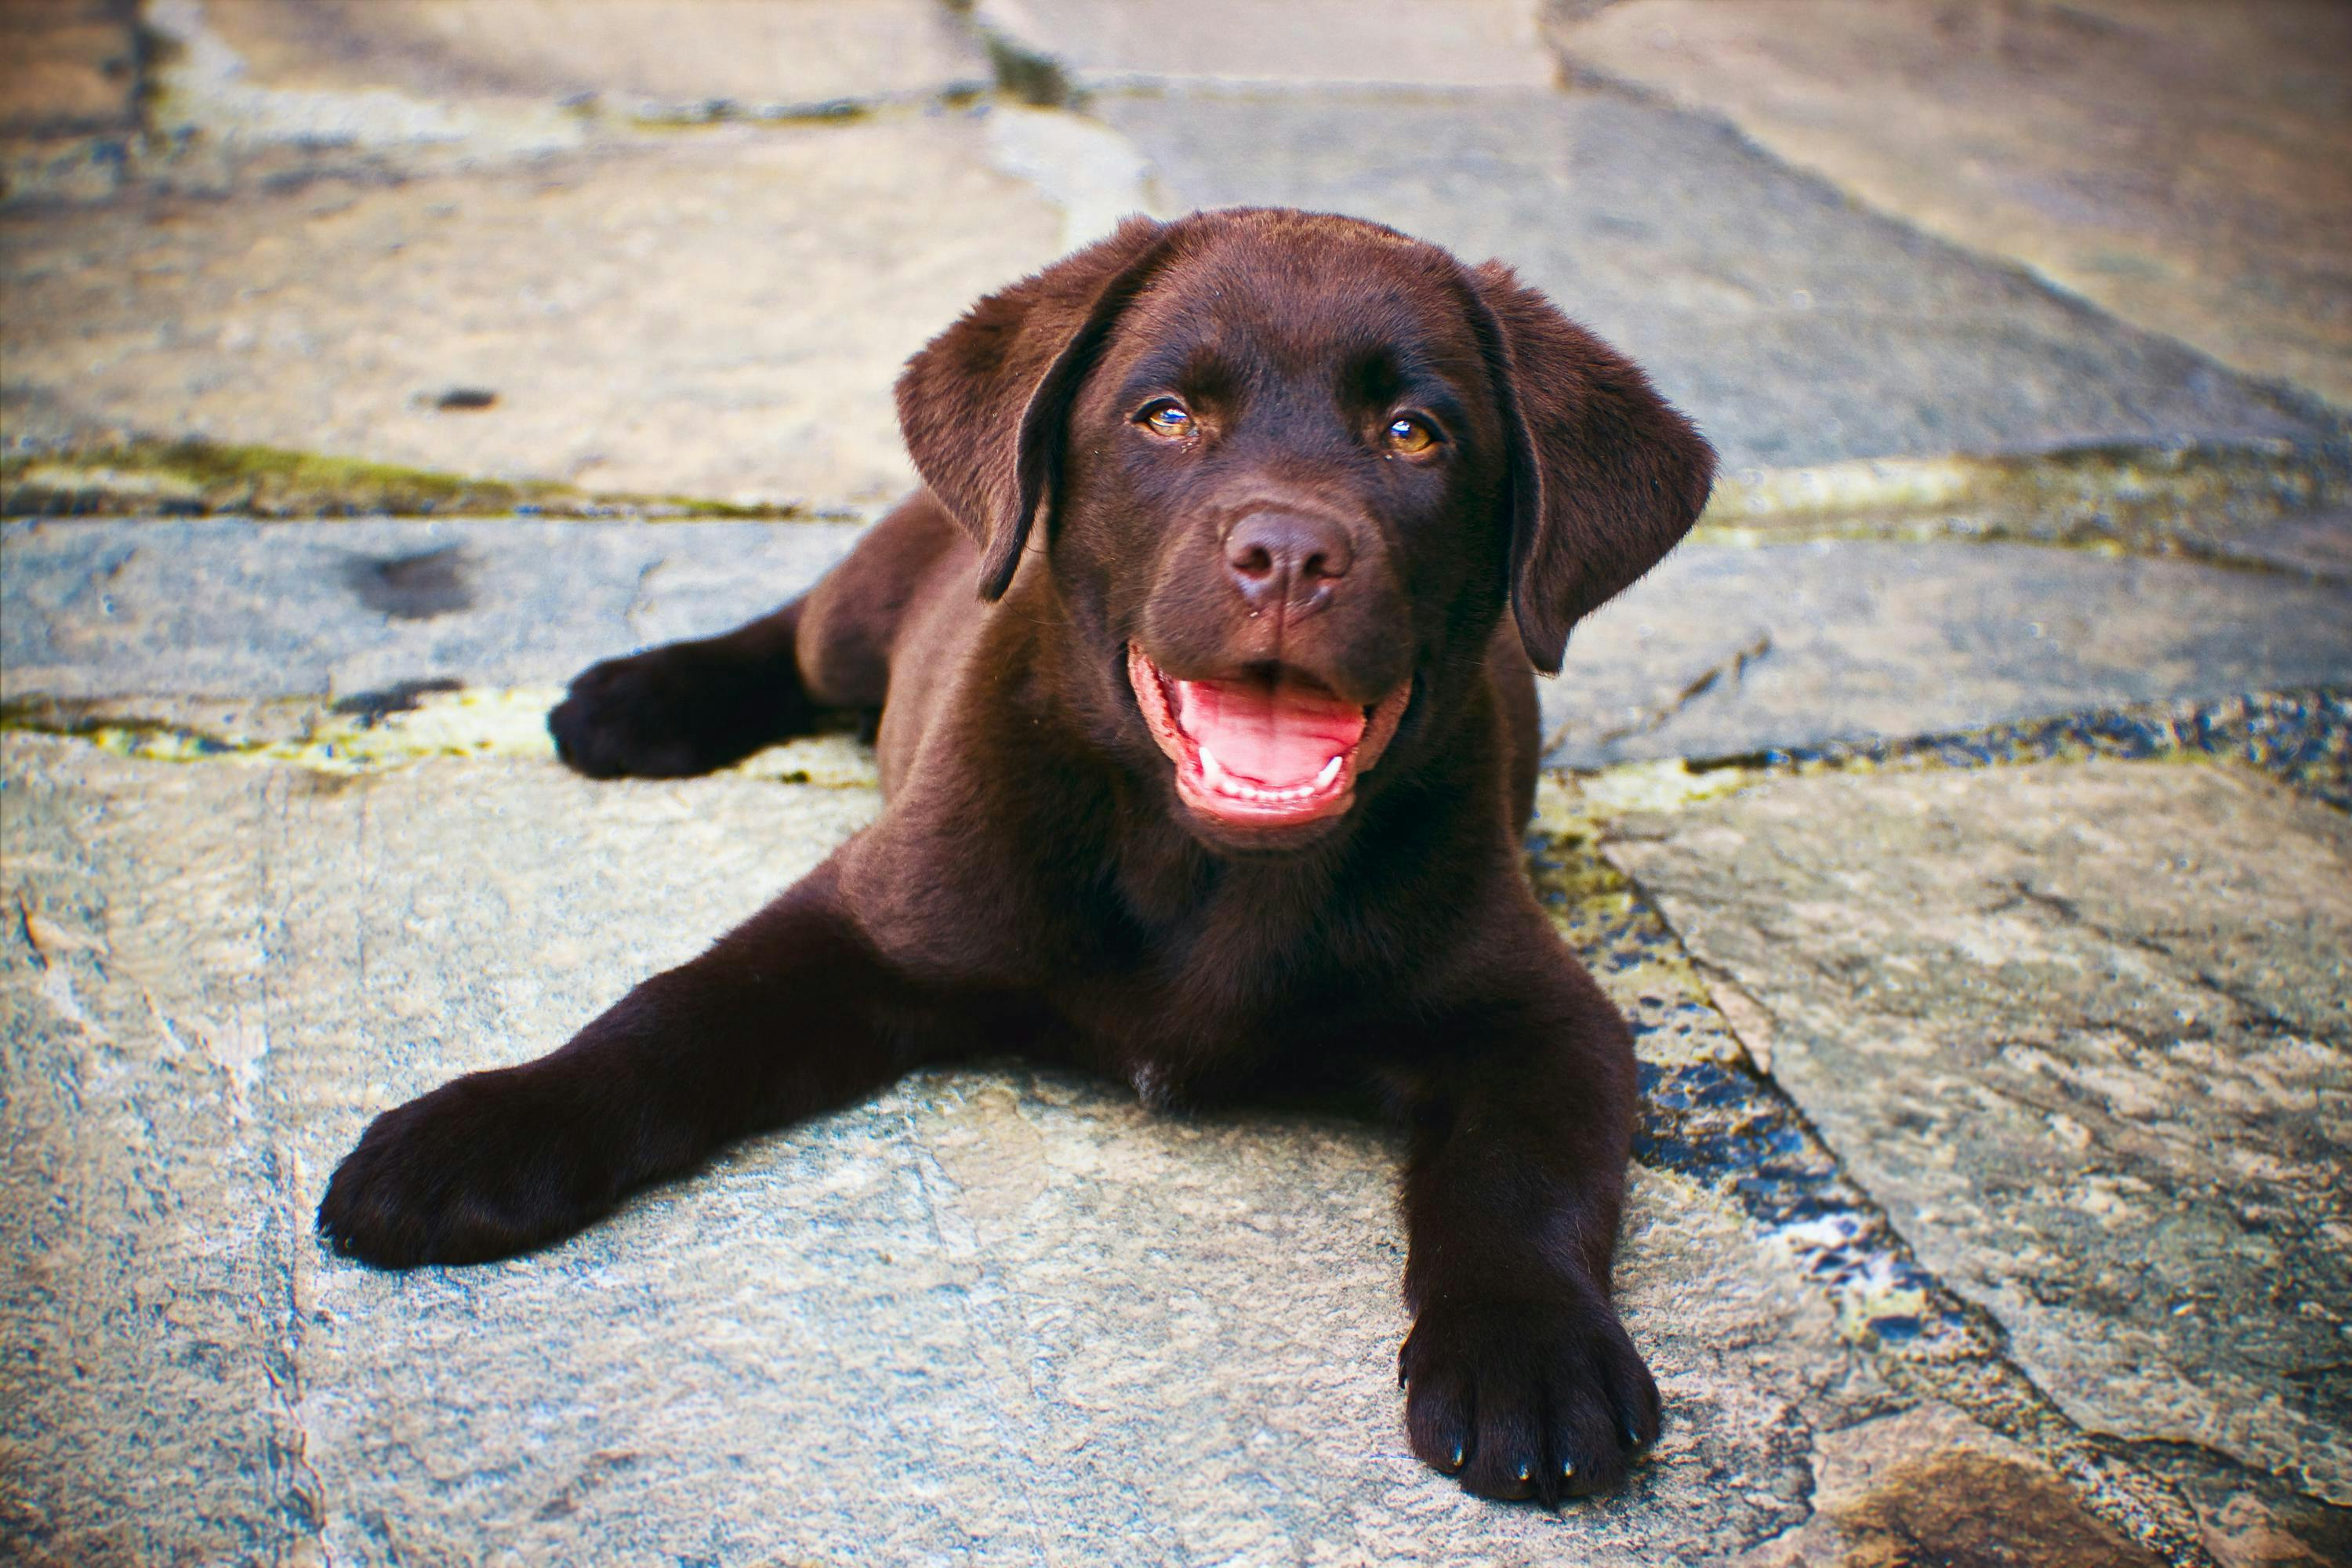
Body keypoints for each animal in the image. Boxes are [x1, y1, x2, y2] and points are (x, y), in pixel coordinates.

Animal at [318, 211, 1712, 1504]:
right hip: (865, 609)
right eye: (1165, 417)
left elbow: (1522, 1177)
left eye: (1416, 435)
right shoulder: (864, 918)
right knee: (795, 632)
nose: (1288, 555)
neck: (1209, 870)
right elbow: (666, 1019)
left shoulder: (1541, 1013)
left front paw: (1533, 1356)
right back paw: (638, 701)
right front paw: (481, 1132)